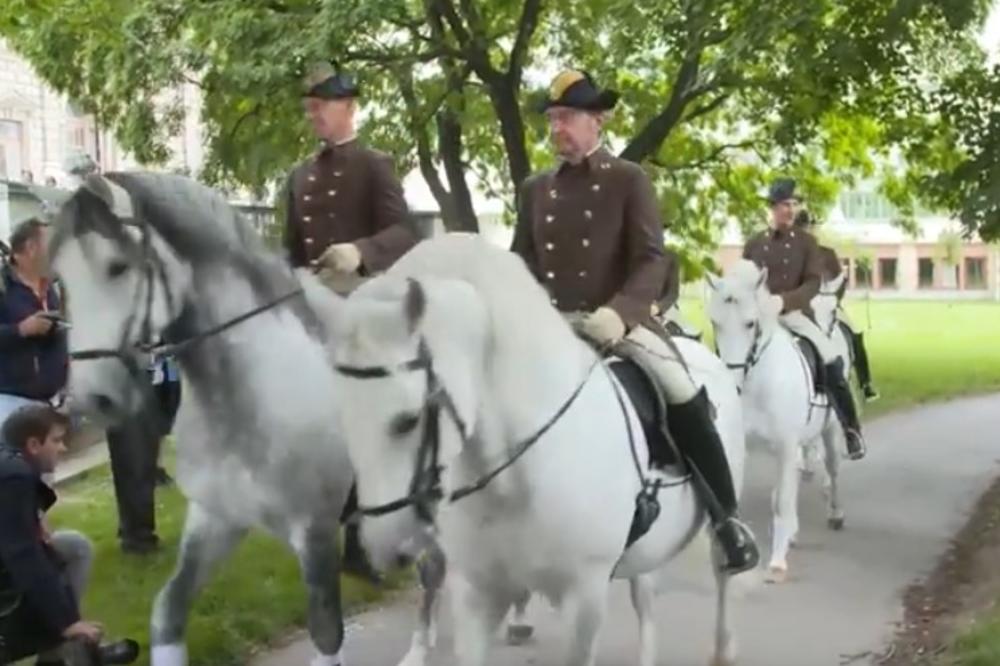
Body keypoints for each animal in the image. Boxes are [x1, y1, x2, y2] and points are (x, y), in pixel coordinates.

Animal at [324, 233, 748, 664]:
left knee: (720, 572)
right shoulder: (477, 593)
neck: (518, 477)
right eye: (341, 415)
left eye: (408, 419)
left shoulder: (585, 598)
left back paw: (724, 643)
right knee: (645, 596)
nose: (383, 547)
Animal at [704, 260, 844, 580]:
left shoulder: (787, 444)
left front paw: (778, 561)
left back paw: (835, 514)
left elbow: (782, 501)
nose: (731, 382)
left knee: (832, 469)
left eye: (750, 323)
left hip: (829, 430)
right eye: (715, 323)